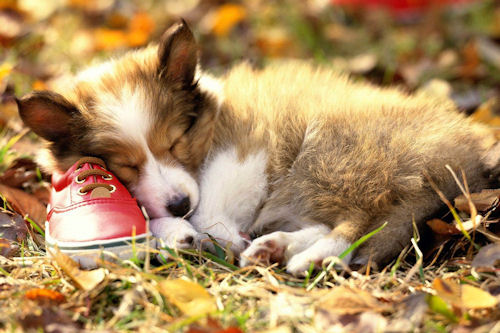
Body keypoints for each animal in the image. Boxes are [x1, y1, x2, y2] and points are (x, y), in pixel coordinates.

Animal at [15, 20, 496, 272]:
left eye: (176, 141)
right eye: (124, 165)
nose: (178, 204)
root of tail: (464, 161)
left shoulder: (245, 151)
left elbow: (210, 207)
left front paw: (204, 230)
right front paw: (175, 231)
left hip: (334, 156)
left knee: (358, 222)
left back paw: (309, 257)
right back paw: (276, 246)